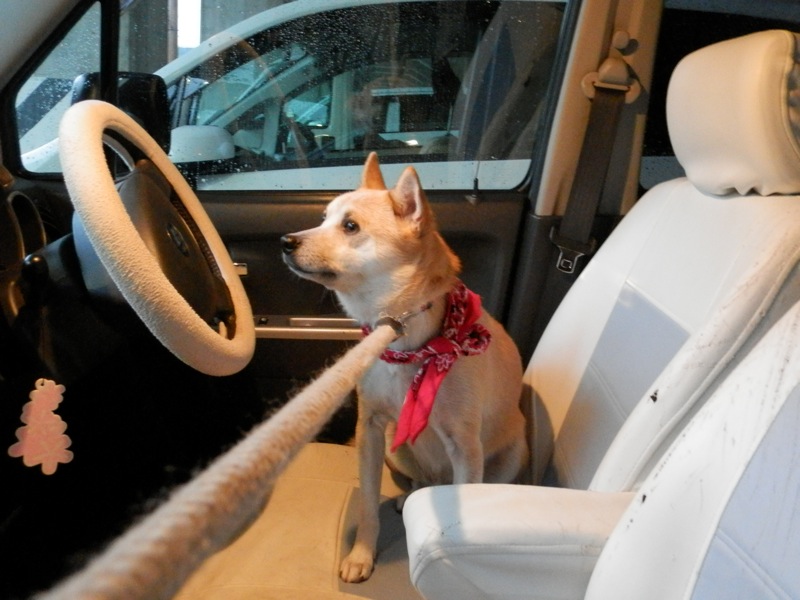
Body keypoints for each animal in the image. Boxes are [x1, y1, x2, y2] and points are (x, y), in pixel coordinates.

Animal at [281, 152, 527, 583]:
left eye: (350, 226)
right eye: (324, 217)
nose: (286, 241)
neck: (404, 344)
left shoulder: (465, 446)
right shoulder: (370, 429)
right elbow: (366, 506)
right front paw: (362, 555)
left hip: (513, 451)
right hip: (396, 450)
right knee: (421, 481)